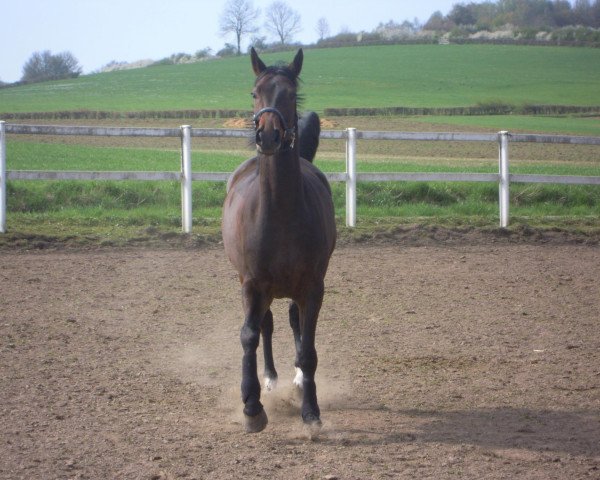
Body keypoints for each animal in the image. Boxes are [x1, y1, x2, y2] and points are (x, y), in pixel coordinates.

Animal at [221, 47, 338, 434]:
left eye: (289, 93)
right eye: (255, 92)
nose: (268, 136)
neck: (281, 212)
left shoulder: (313, 286)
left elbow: (309, 350)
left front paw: (311, 411)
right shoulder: (252, 283)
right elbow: (249, 335)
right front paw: (252, 406)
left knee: (293, 322)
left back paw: (298, 380)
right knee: (267, 325)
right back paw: (270, 379)